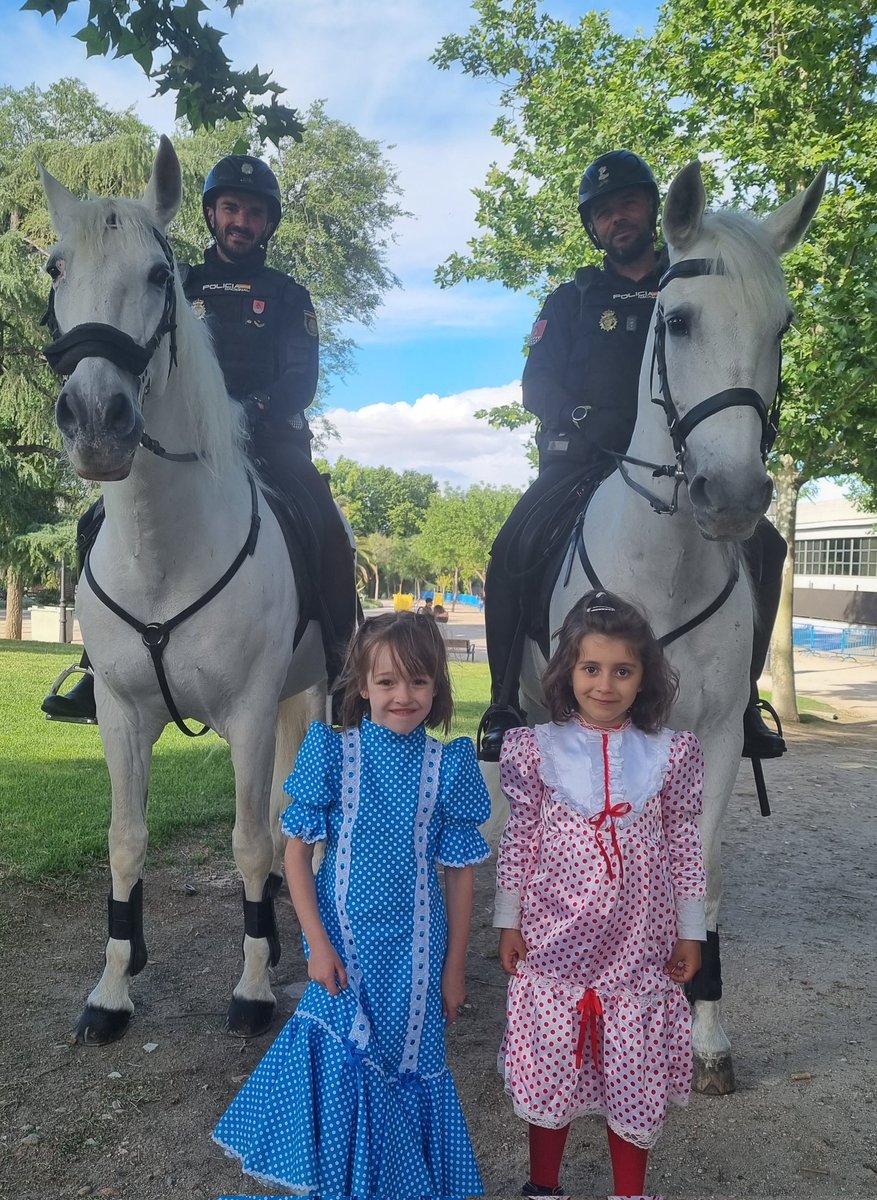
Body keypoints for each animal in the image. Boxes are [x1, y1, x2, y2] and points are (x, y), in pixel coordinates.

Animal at [41, 138, 328, 1041]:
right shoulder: (122, 715)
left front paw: (253, 985)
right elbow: (126, 841)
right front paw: (113, 987)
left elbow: (249, 841)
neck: (165, 553)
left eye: (158, 275)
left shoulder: (248, 714)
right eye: (56, 268)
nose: (98, 420)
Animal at [511, 162, 825, 1099]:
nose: (733, 496)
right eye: (677, 320)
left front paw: (705, 1035)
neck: (667, 561)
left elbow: (701, 876)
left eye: (781, 326)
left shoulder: (714, 736)